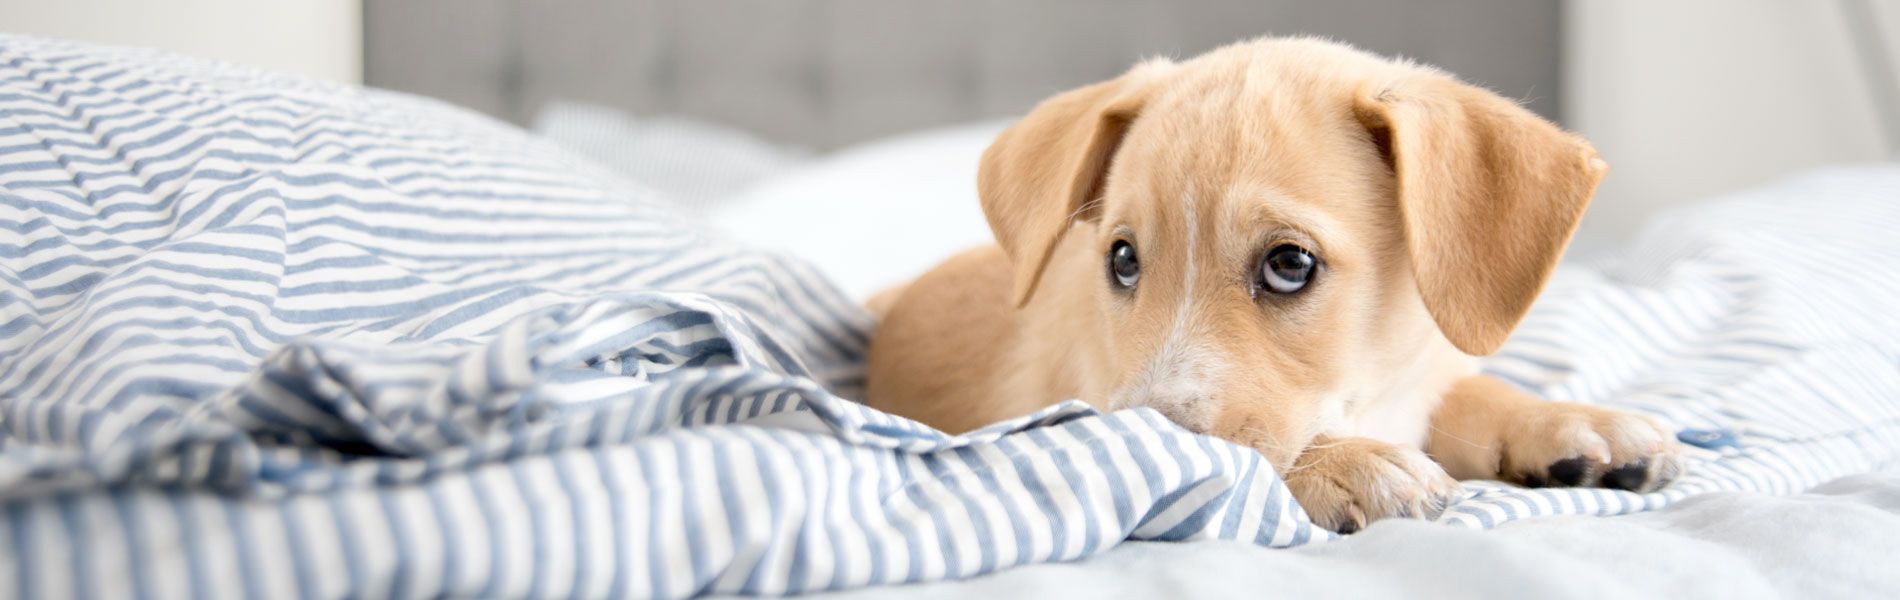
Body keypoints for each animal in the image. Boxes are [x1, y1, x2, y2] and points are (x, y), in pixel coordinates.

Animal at [862, 37, 1683, 533]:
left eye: (1290, 265)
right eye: (1122, 260)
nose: (1152, 439)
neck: (1368, 397)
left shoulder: (1420, 369)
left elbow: (1467, 389)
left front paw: (1573, 421)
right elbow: (1264, 460)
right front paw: (1349, 465)